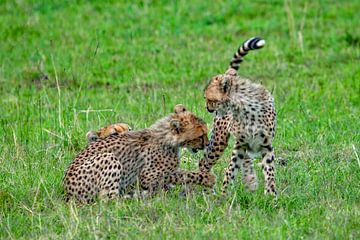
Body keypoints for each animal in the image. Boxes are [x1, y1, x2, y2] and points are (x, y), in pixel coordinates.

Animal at [64, 104, 217, 203]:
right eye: (201, 135)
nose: (207, 144)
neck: (166, 137)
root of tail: (67, 192)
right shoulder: (146, 176)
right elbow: (180, 175)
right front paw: (208, 178)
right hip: (109, 157)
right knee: (107, 200)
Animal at [198, 37, 278, 199]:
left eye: (208, 98)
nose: (207, 108)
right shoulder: (240, 145)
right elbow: (230, 171)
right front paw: (224, 196)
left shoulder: (266, 146)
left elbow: (270, 172)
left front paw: (271, 196)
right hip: (220, 140)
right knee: (203, 162)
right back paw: (209, 192)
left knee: (247, 161)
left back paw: (251, 183)